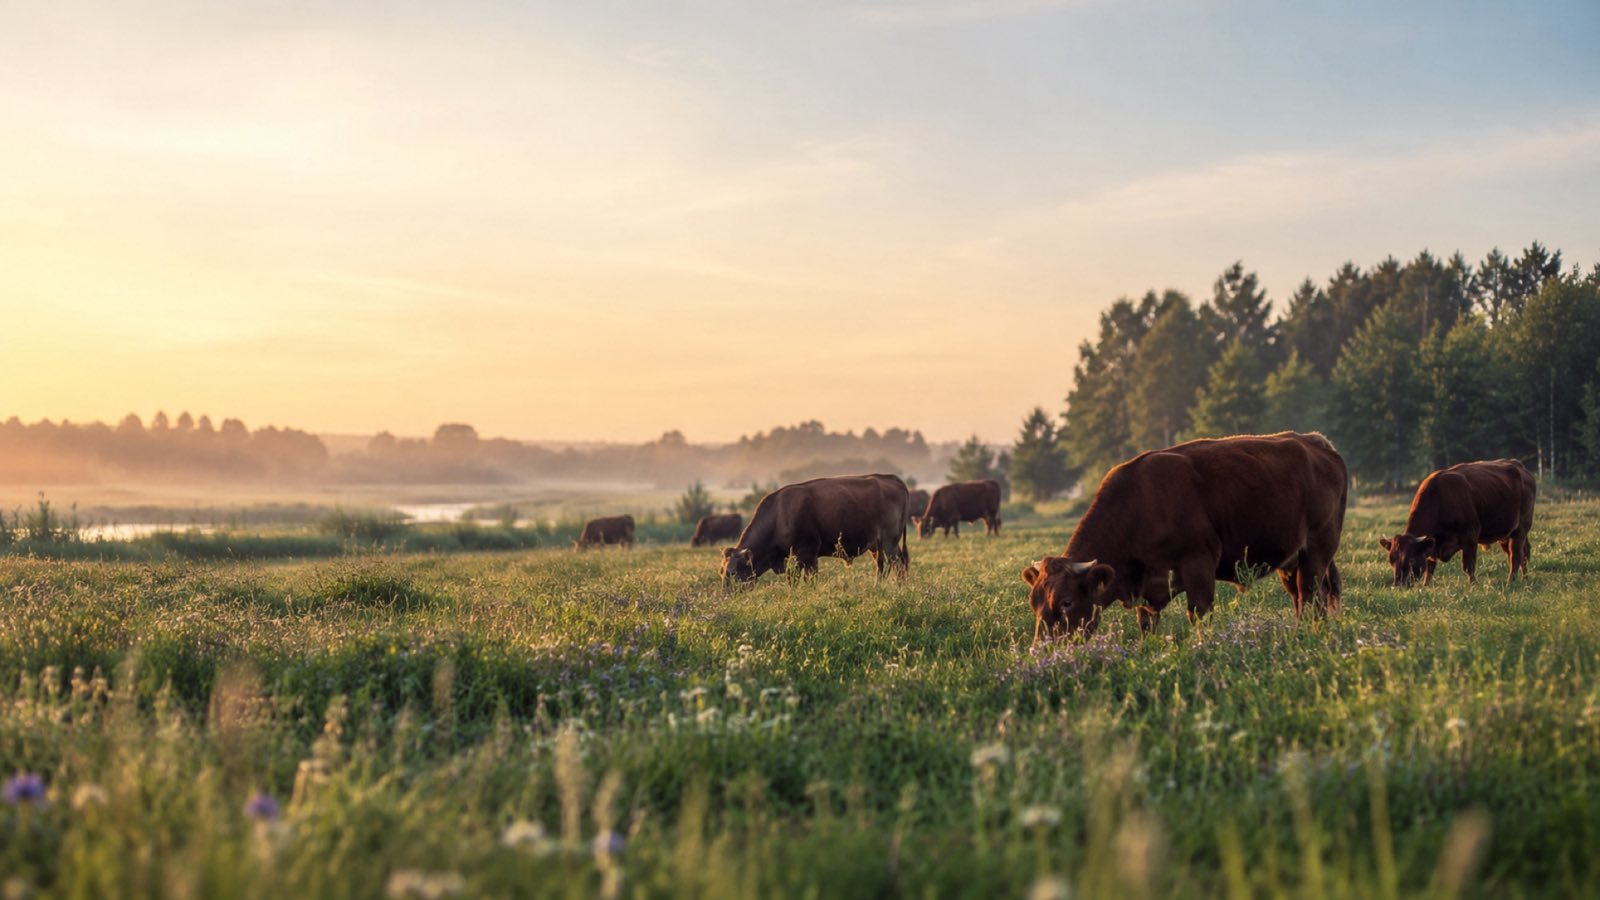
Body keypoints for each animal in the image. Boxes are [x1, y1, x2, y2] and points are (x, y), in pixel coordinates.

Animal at [721, 474, 909, 586]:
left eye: (732, 572)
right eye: (721, 572)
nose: (726, 595)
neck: (779, 513)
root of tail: (891, 479)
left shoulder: (805, 553)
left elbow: (798, 579)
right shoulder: (808, 557)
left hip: (889, 542)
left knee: (898, 565)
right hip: (877, 546)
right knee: (883, 567)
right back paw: (878, 586)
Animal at [1021, 432, 1348, 642]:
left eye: (1066, 602)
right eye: (1034, 602)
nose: (1044, 650)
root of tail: (1315, 442)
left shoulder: (1198, 564)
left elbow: (1199, 615)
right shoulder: (1147, 586)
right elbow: (1147, 624)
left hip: (1317, 550)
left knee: (1312, 597)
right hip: (1290, 560)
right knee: (1301, 597)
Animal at [1378, 458, 1535, 587]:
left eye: (1410, 559)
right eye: (1391, 559)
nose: (1399, 584)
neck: (1439, 499)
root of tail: (1520, 467)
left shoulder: (1470, 536)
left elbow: (1468, 565)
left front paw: (1473, 584)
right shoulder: (1432, 545)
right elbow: (1430, 565)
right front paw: (1426, 585)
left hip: (1520, 529)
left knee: (1515, 556)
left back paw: (1511, 581)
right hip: (1506, 534)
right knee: (1522, 553)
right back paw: (1525, 579)